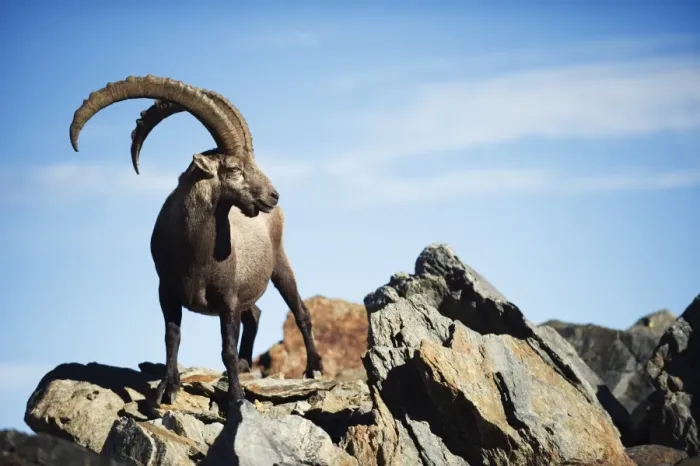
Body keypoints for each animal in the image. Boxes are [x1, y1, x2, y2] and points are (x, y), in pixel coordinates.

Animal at [69, 75, 324, 406]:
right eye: (234, 168)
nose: (273, 195)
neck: (197, 254)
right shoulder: (167, 291)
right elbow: (172, 337)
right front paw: (168, 387)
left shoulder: (227, 299)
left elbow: (226, 349)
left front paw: (236, 399)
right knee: (254, 314)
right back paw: (246, 365)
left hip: (280, 264)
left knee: (300, 312)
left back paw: (313, 368)